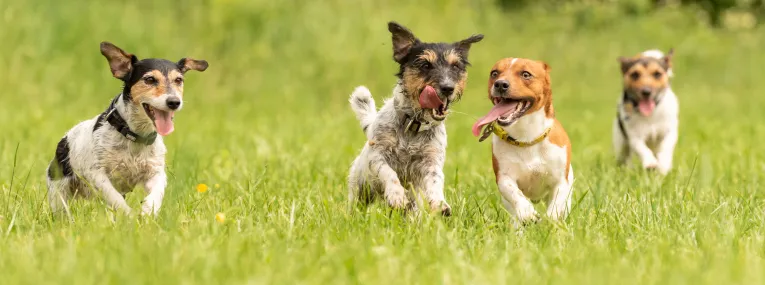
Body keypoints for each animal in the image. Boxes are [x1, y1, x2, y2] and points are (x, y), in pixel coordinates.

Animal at [47, 42, 209, 214]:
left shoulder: (155, 172)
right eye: (149, 79)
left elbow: (157, 192)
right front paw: (129, 215)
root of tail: (65, 138)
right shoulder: (97, 174)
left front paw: (147, 210)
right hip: (58, 190)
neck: (135, 136)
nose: (174, 102)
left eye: (179, 80)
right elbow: (115, 198)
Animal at [348, 21, 484, 213]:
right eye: (425, 65)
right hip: (360, 191)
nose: (448, 88)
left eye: (456, 66)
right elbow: (389, 173)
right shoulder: (377, 156)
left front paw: (439, 203)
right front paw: (396, 195)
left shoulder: (432, 161)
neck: (414, 125)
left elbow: (435, 180)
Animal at [472, 57, 572, 226]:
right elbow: (515, 194)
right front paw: (527, 213)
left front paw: (549, 222)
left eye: (526, 74)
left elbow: (555, 207)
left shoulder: (561, 181)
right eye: (494, 73)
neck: (527, 138)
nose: (500, 84)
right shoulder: (504, 177)